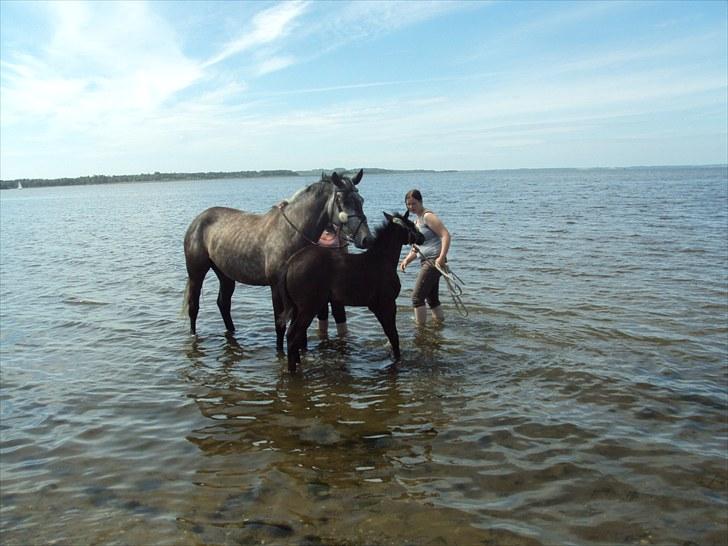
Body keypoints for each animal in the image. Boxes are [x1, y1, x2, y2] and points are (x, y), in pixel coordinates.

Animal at [182, 169, 376, 348]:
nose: (367, 239)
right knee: (194, 307)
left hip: (225, 274)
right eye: (343, 201)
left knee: (223, 303)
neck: (290, 234)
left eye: (361, 200)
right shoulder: (276, 287)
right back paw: (192, 335)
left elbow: (300, 330)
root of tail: (197, 220)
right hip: (196, 272)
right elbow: (280, 325)